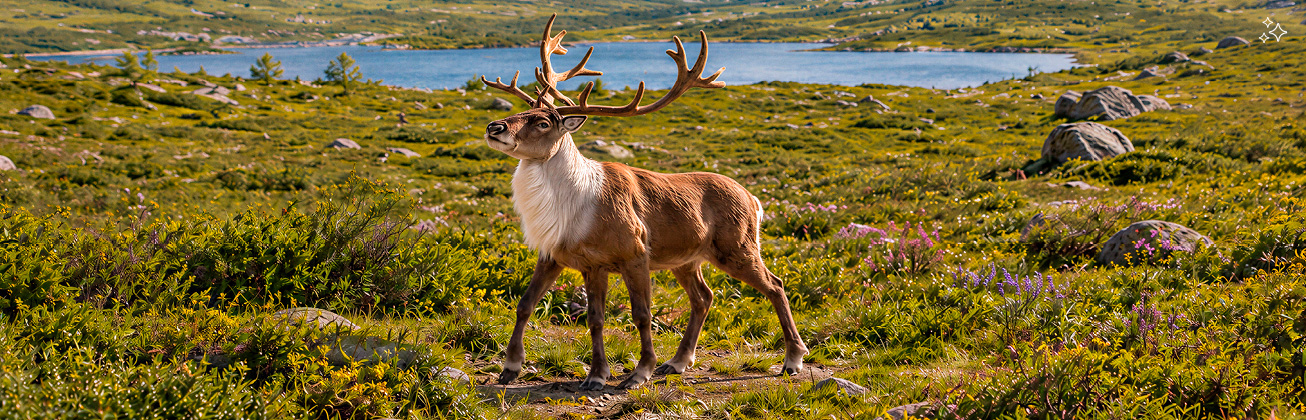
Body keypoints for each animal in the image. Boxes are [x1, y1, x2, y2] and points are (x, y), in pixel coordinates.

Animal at [482, 14, 808, 391]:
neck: (572, 206)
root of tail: (752, 198)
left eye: (543, 121)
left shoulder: (635, 254)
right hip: (687, 259)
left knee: (775, 286)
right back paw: (679, 361)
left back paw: (793, 359)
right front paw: (527, 368)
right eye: (523, 110)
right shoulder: (567, 258)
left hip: (737, 248)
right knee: (704, 297)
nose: (494, 127)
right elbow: (548, 308)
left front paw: (639, 371)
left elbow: (641, 314)